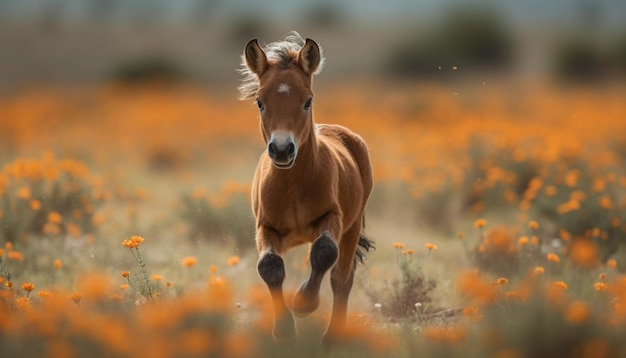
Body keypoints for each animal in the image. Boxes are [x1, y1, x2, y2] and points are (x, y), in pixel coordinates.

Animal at [236, 33, 368, 344]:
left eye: (308, 101)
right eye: (260, 102)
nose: (283, 149)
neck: (293, 185)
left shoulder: (333, 217)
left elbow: (324, 252)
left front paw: (304, 302)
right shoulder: (266, 227)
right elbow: (269, 266)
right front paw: (284, 331)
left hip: (353, 226)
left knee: (342, 278)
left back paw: (332, 339)